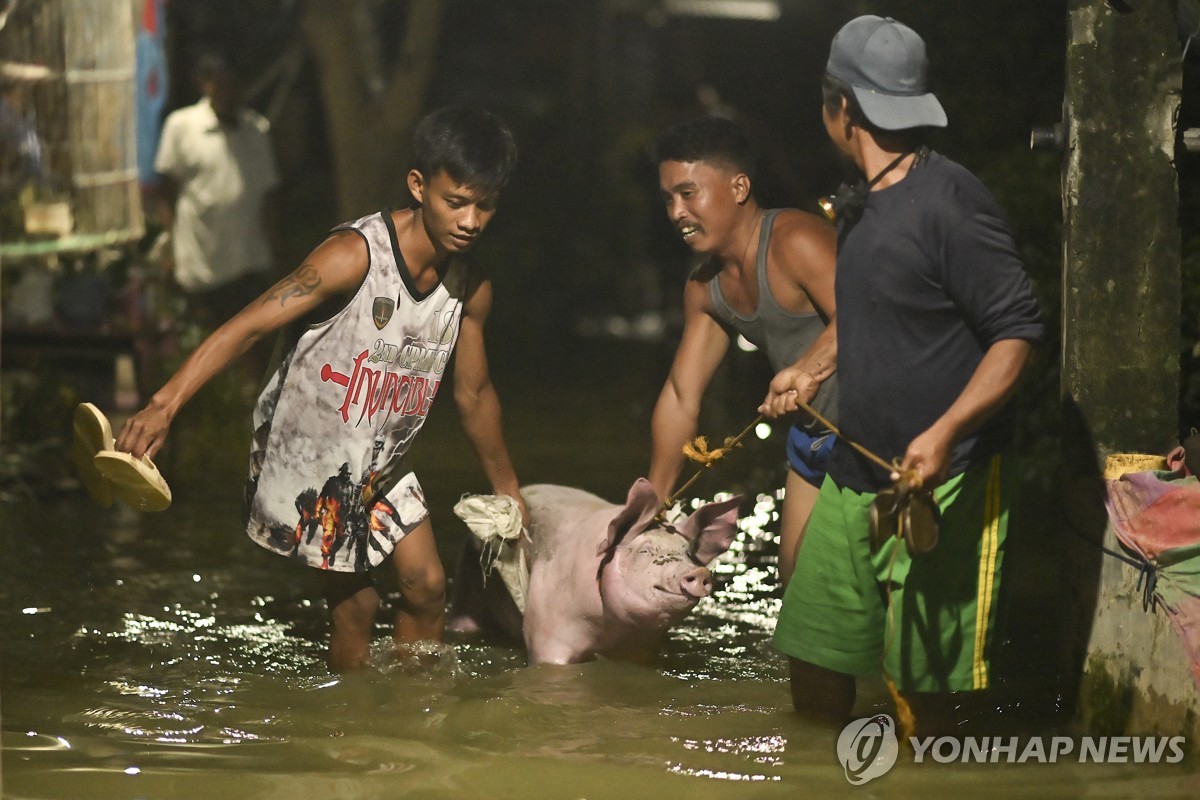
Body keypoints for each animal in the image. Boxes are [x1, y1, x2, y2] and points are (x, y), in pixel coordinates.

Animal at [451, 479, 739, 666]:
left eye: (687, 551)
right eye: (645, 550)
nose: (698, 572)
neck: (608, 629)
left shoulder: (643, 645)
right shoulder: (547, 630)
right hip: (468, 586)